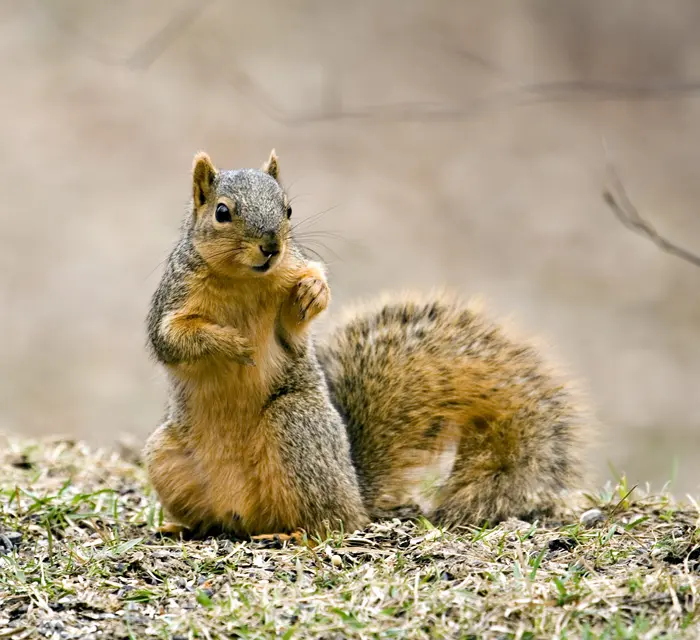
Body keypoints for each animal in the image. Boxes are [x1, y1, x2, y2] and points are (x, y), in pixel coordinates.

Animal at [146, 152, 592, 544]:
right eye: (222, 212)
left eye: (288, 209)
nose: (272, 246)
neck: (243, 279)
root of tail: (355, 491)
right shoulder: (173, 299)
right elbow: (171, 340)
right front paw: (232, 342)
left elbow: (291, 330)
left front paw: (313, 290)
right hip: (166, 457)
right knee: (220, 518)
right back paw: (185, 526)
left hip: (295, 426)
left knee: (332, 522)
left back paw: (291, 531)